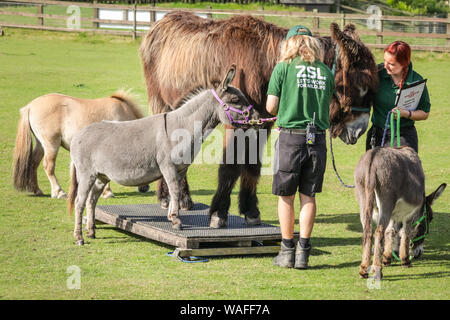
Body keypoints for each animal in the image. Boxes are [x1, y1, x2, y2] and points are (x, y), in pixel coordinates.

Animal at [12, 90, 142, 199]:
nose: (144, 189)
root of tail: (29, 106)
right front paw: (107, 192)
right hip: (51, 145)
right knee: (48, 166)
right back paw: (59, 192)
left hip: (41, 145)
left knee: (34, 163)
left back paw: (37, 190)